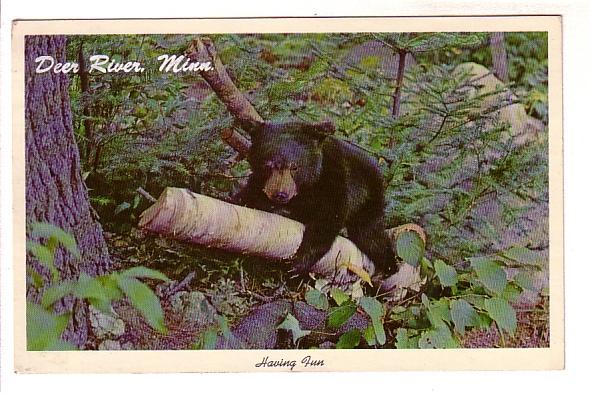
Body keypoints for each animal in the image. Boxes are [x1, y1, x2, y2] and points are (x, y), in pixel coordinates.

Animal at [237, 119, 398, 276]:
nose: (280, 194)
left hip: (368, 198)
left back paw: (390, 264)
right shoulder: (256, 185)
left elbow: (327, 220)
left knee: (370, 234)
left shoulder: (335, 179)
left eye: (295, 167)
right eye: (267, 166)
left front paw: (298, 263)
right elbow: (246, 197)